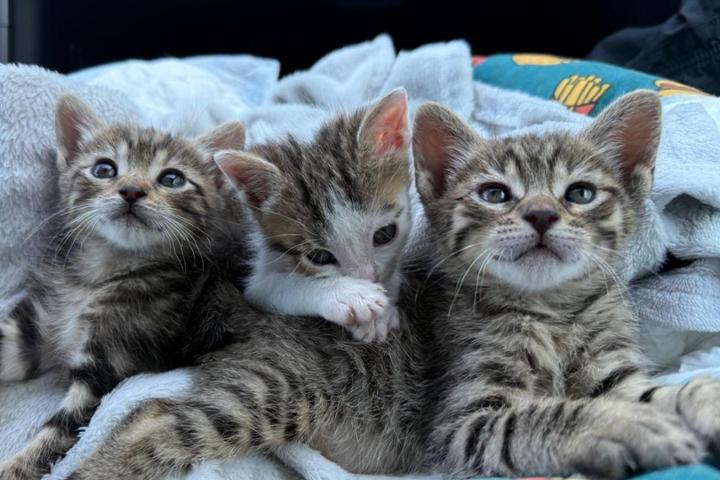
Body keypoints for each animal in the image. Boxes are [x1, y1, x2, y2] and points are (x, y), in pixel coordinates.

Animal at [0, 94, 250, 479]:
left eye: (172, 178)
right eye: (104, 169)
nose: (132, 190)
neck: (99, 274)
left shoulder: (110, 368)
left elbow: (57, 433)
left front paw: (14, 467)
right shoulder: (36, 324)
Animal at [227, 89, 413, 342]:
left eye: (385, 234)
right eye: (320, 257)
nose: (367, 279)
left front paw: (383, 311)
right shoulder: (259, 282)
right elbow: (286, 286)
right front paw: (351, 295)